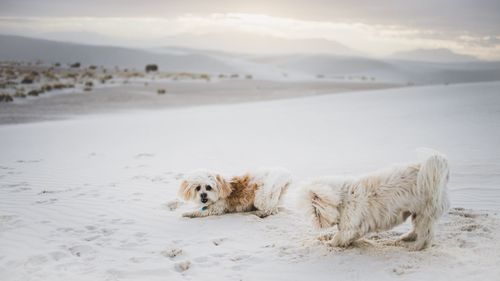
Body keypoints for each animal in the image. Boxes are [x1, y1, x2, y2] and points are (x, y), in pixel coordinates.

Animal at [296, 152, 450, 250]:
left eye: (315, 211)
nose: (318, 224)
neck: (342, 199)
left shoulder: (349, 226)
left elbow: (339, 237)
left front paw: (328, 244)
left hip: (425, 213)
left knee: (426, 235)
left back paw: (414, 246)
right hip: (417, 213)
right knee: (418, 230)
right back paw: (406, 238)